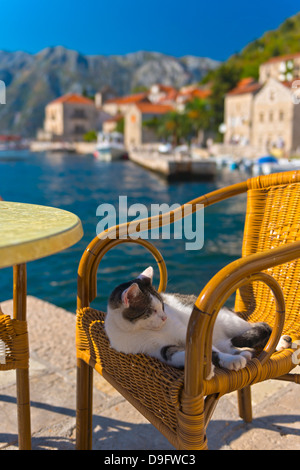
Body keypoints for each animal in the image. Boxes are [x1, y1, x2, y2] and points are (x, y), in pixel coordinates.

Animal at [105, 264, 290, 378]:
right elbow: (179, 354)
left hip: (230, 322)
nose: (164, 317)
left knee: (257, 327)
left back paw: (280, 341)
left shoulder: (184, 332)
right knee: (228, 344)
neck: (140, 331)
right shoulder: (158, 349)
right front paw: (212, 367)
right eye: (151, 311)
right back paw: (242, 352)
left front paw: (227, 361)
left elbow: (210, 351)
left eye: (163, 306)